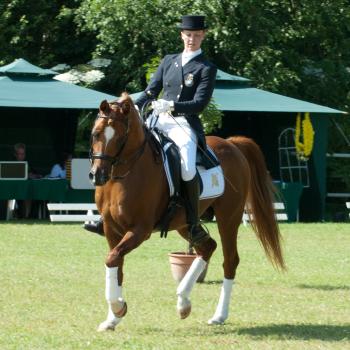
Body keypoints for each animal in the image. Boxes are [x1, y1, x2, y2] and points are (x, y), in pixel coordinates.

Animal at [88, 93, 284, 330]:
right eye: (95, 133)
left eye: (119, 137)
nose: (98, 175)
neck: (126, 173)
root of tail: (231, 143)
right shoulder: (111, 228)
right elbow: (116, 265)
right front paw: (112, 318)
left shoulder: (140, 230)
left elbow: (112, 259)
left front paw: (118, 308)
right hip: (185, 223)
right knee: (207, 247)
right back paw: (183, 303)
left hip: (229, 218)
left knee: (230, 260)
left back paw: (218, 315)